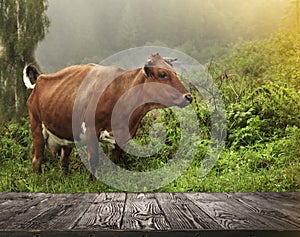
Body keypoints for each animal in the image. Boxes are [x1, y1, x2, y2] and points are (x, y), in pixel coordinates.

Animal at [22, 53, 192, 180]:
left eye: (175, 73)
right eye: (163, 74)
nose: (188, 97)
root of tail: (40, 79)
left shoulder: (123, 137)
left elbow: (115, 161)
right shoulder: (91, 131)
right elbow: (94, 161)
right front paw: (91, 183)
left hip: (65, 136)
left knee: (63, 160)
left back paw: (65, 180)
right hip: (36, 127)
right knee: (37, 158)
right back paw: (38, 182)